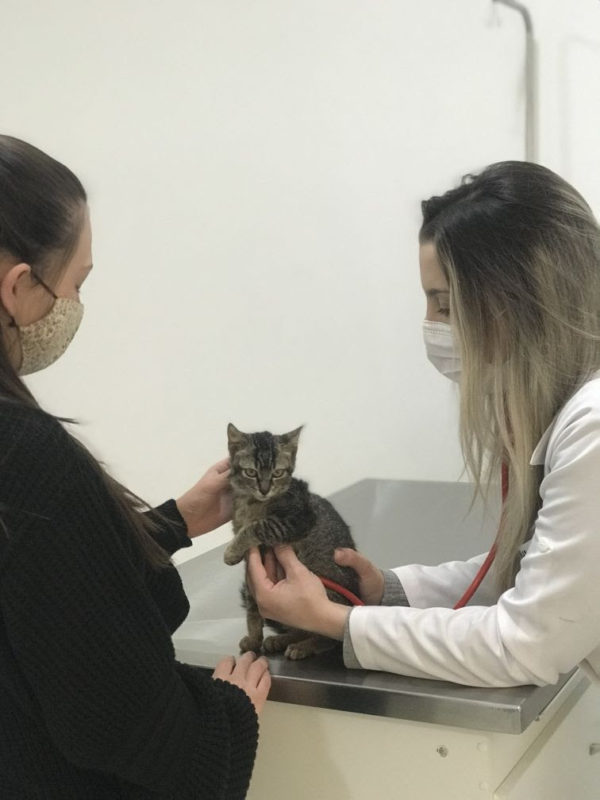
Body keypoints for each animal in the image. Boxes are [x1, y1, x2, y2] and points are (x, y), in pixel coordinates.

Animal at [223, 422, 358, 660]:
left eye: (277, 473)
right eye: (251, 472)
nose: (264, 489)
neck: (250, 503)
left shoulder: (298, 519)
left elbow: (257, 526)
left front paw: (231, 551)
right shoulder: (251, 571)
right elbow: (252, 608)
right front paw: (254, 639)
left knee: (330, 637)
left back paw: (304, 646)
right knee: (300, 628)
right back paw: (282, 639)